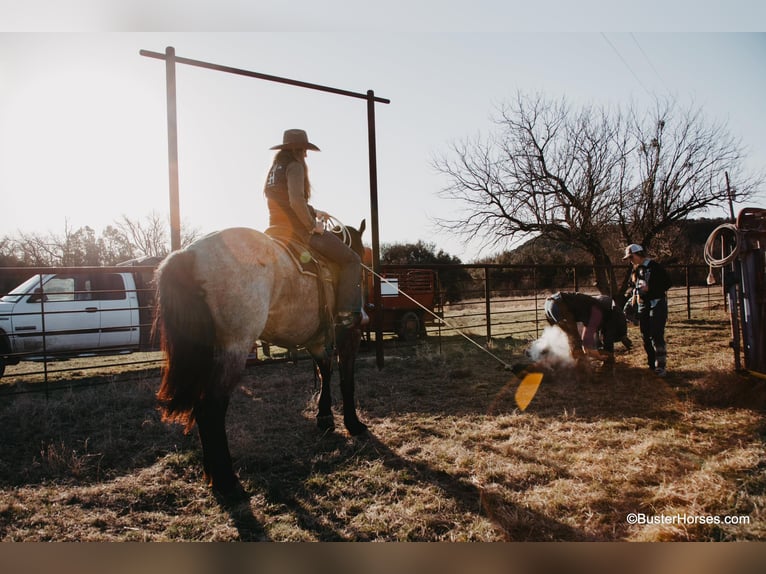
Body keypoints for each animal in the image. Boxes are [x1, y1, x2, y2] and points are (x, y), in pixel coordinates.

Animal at [152, 222, 368, 500]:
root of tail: (189, 254)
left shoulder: (317, 341)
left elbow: (324, 373)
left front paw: (325, 418)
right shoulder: (349, 335)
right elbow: (346, 379)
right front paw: (353, 423)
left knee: (201, 409)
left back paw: (212, 474)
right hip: (234, 349)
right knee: (210, 408)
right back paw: (227, 483)